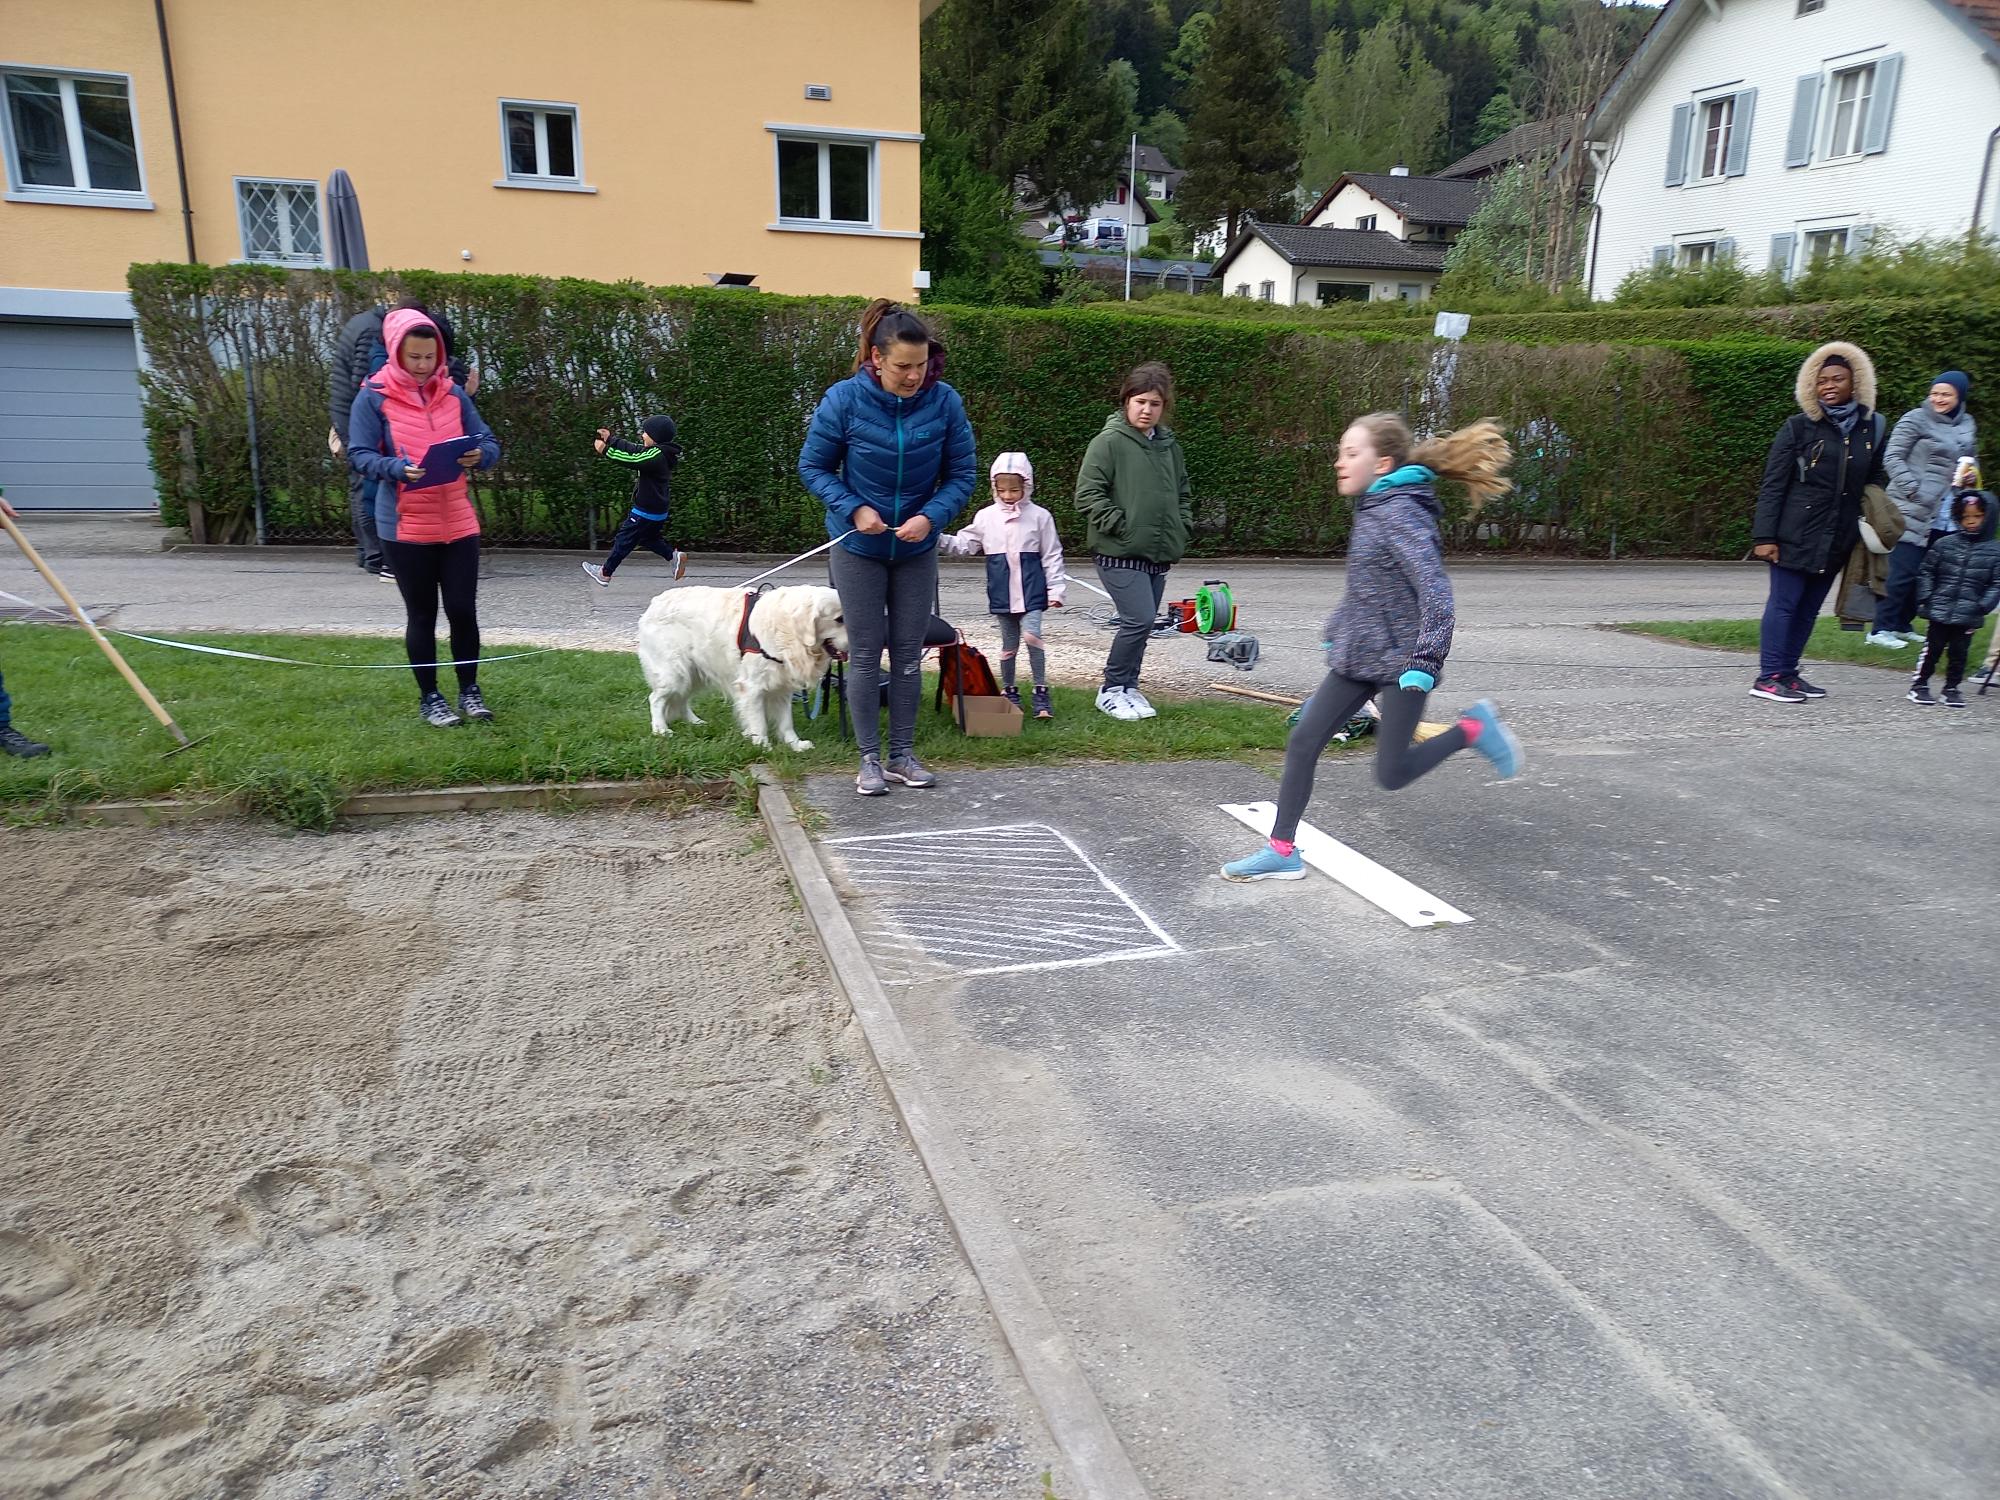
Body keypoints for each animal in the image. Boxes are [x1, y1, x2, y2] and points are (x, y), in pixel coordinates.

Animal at [636, 584, 848, 752]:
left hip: (693, 672)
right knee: (656, 699)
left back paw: (695, 722)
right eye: (839, 619)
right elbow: (759, 721)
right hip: (675, 672)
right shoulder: (751, 687)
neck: (786, 628)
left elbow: (786, 722)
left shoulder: (781, 686)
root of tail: (653, 604)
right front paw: (762, 745)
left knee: (681, 699)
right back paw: (660, 729)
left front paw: (795, 745)